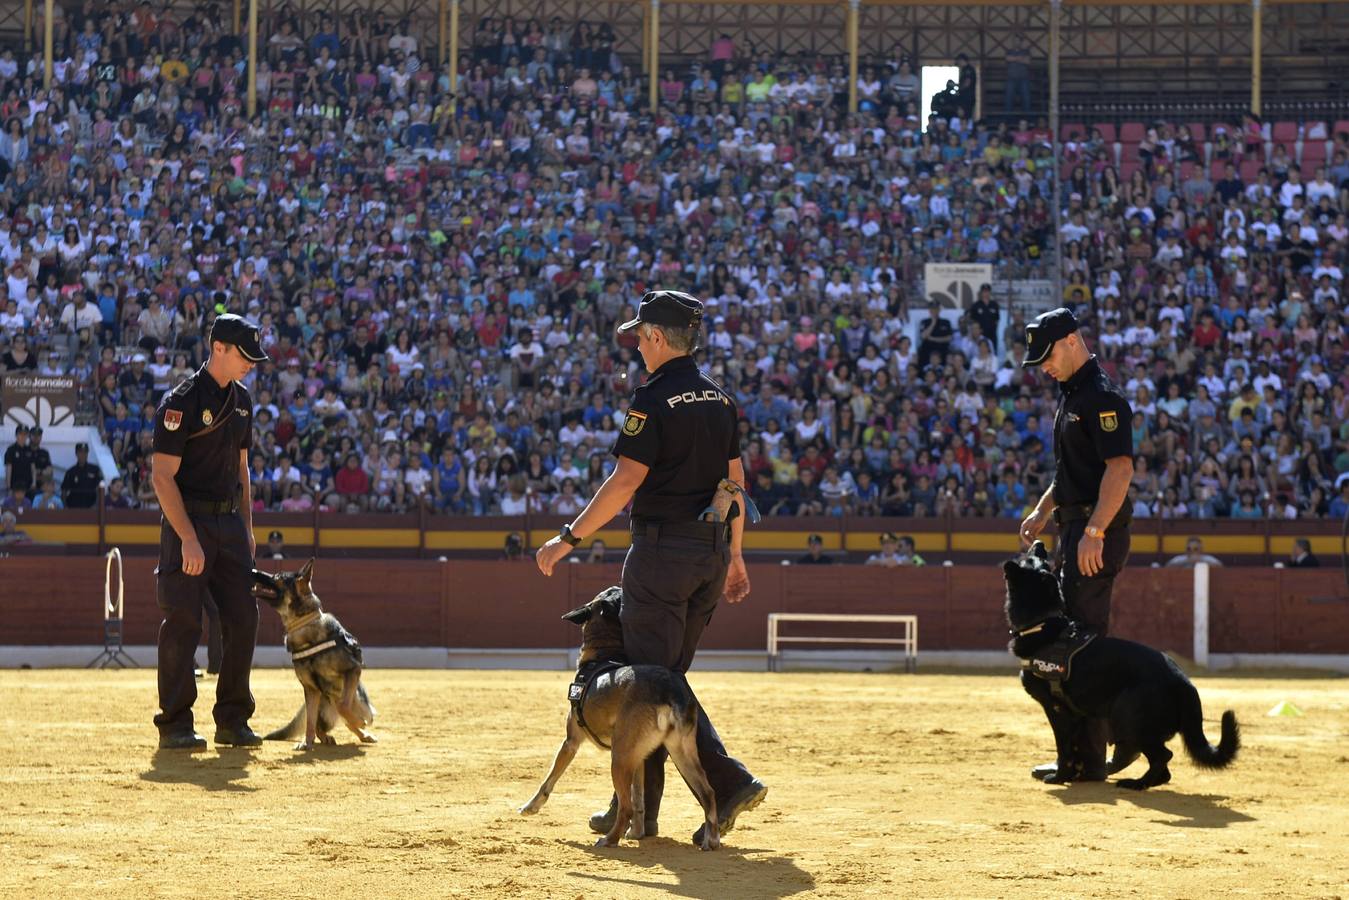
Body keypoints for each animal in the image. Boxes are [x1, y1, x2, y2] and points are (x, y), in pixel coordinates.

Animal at [249, 558, 377, 750]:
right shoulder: (311, 689)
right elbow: (310, 720)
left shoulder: (352, 670)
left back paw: (363, 734)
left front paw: (358, 722)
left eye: (277, 577)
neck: (303, 625)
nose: (253, 570)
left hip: (363, 706)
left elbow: (343, 705)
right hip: (323, 707)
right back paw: (328, 737)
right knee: (319, 725)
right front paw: (306, 742)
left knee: (350, 717)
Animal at [518, 588, 728, 847]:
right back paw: (712, 839)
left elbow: (549, 779)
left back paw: (609, 839)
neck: (603, 652)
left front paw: (530, 806)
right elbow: (639, 797)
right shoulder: (639, 758)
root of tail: (669, 689)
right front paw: (637, 833)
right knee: (708, 793)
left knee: (625, 807)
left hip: (619, 758)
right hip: (680, 751)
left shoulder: (571, 742)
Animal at [1003, 542, 1235, 788]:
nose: (1039, 544)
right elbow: (1074, 748)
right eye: (1038, 560)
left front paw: (1060, 777)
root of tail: (1184, 682)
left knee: (1163, 755)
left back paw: (1136, 783)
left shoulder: (1057, 710)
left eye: (1027, 560)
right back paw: (1143, 781)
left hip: (1127, 714)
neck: (1044, 623)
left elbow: (1064, 748)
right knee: (1163, 768)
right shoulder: (1075, 716)